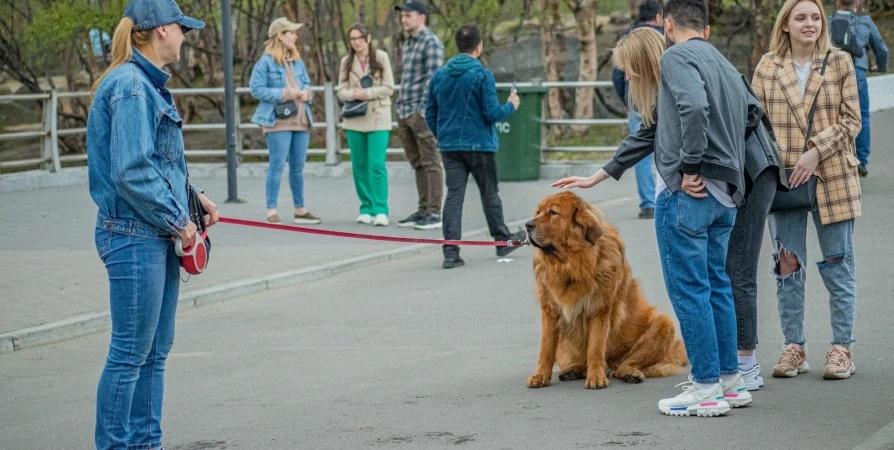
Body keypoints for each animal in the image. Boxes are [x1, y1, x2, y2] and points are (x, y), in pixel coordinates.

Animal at [528, 192, 688, 388]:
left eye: (553, 212)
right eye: (538, 212)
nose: (528, 225)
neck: (572, 264)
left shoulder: (599, 309)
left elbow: (596, 347)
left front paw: (596, 377)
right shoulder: (550, 311)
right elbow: (546, 348)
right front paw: (540, 376)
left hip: (664, 324)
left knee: (627, 364)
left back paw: (628, 373)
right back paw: (574, 369)